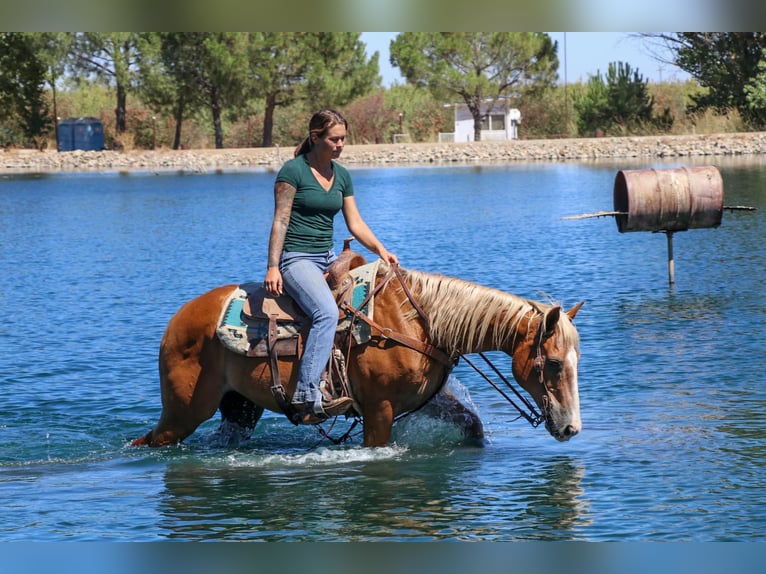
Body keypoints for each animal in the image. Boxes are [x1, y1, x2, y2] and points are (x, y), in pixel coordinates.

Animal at [132, 257, 583, 448]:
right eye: (553, 363)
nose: (571, 429)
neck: (418, 321)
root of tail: (176, 321)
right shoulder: (379, 409)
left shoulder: (424, 399)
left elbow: (471, 424)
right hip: (184, 411)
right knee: (151, 441)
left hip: (239, 409)